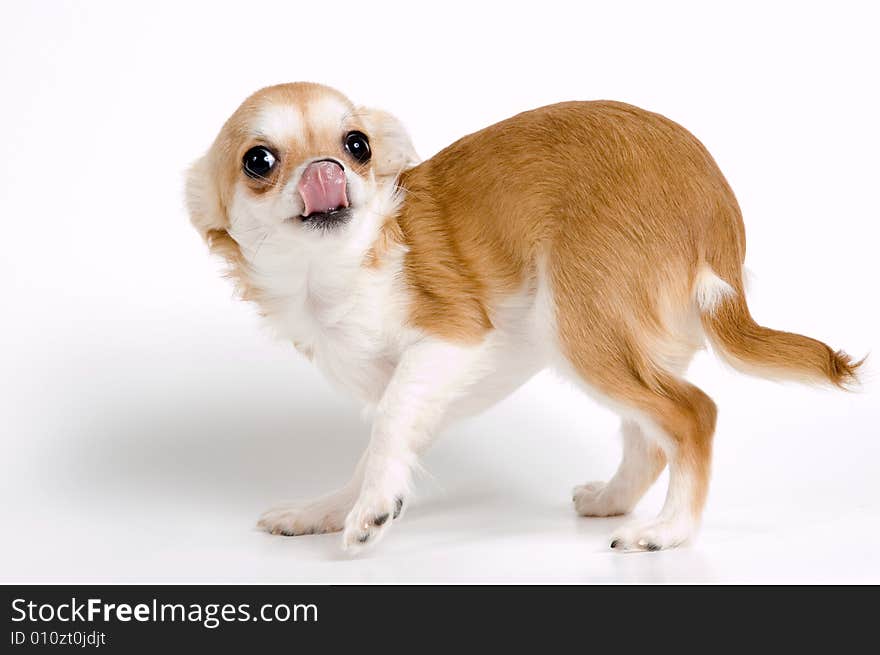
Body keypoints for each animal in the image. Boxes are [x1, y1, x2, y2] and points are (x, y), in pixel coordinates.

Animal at [184, 82, 860, 552]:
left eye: (357, 146)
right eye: (258, 161)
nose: (328, 168)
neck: (332, 273)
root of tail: (717, 214)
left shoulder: (449, 343)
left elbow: (388, 427)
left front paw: (371, 509)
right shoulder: (430, 389)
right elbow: (383, 444)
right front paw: (326, 510)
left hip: (579, 326)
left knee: (692, 414)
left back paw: (668, 533)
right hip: (625, 343)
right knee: (651, 436)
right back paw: (614, 500)